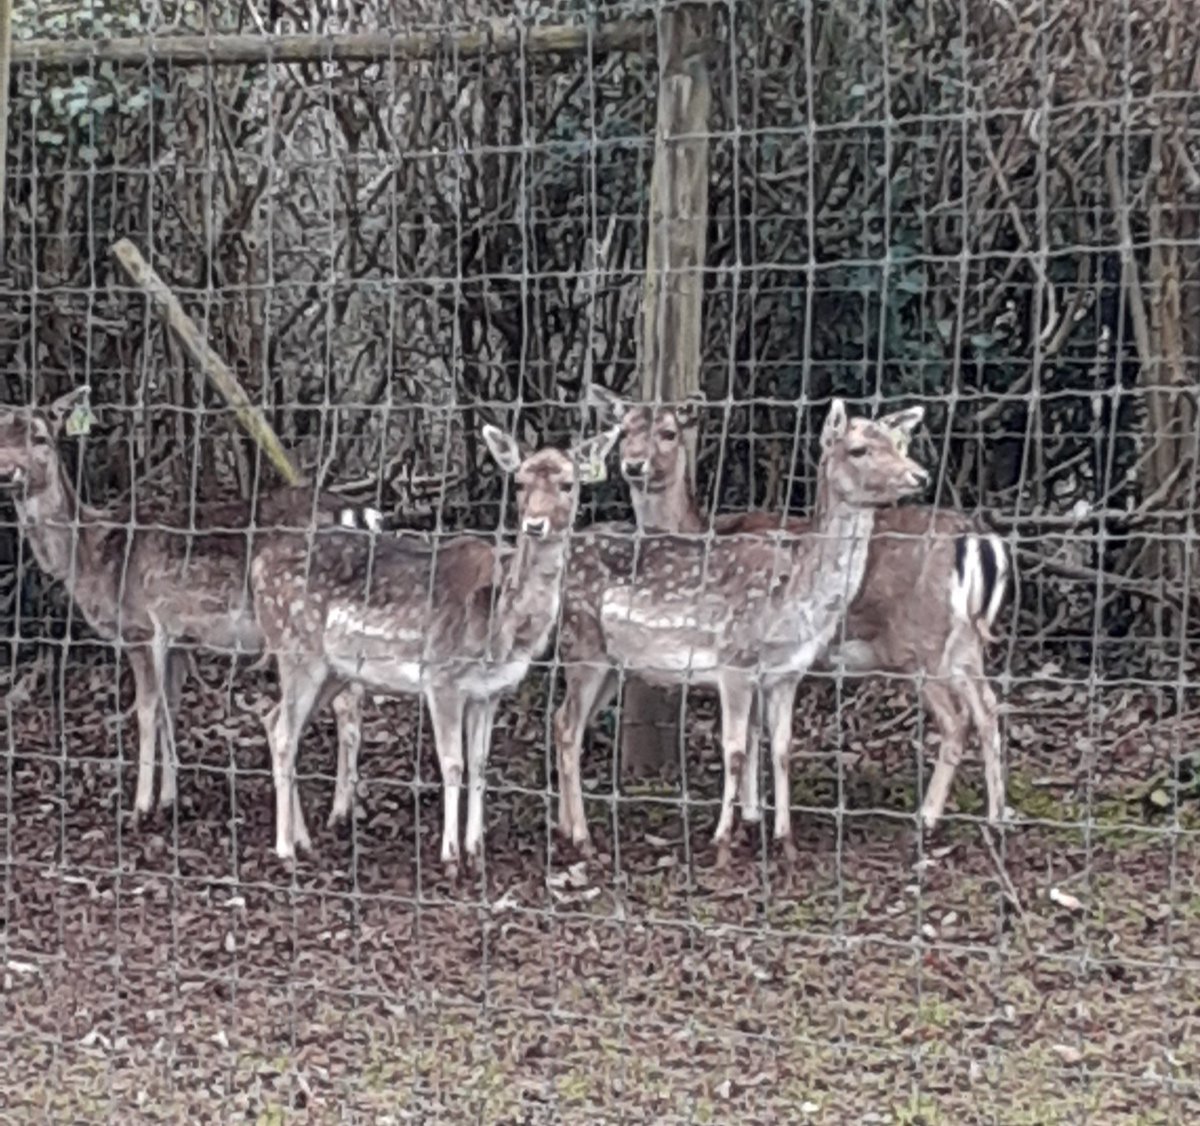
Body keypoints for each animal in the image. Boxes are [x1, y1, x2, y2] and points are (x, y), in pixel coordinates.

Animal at [0, 386, 385, 844]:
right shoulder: (181, 639)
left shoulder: (140, 627)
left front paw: (140, 808)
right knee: (352, 702)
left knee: (342, 706)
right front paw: (170, 799)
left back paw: (327, 818)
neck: (93, 559)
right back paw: (341, 812)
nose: (8, 473)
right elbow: (171, 707)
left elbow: (147, 711)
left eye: (41, 437)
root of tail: (360, 517)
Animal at [249, 421, 622, 870]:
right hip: (295, 646)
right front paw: (450, 856)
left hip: (332, 669)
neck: (503, 627)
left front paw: (476, 850)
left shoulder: (490, 691)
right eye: (518, 482)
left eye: (568, 484)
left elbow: (479, 764)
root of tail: (257, 566)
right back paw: (285, 848)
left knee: (275, 721)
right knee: (284, 734)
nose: (534, 524)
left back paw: (303, 839)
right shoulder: (442, 676)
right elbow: (452, 763)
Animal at [552, 399, 929, 865]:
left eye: (898, 443)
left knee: (563, 721)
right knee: (568, 727)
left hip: (611, 662)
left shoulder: (786, 673)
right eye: (859, 450)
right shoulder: (734, 660)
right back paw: (583, 839)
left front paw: (786, 842)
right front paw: (721, 843)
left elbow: (782, 749)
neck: (794, 593)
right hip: (581, 641)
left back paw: (565, 828)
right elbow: (734, 749)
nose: (920, 475)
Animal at [590, 386, 1009, 836]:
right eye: (623, 431)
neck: (700, 531)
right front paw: (757, 811)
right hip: (964, 643)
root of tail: (978, 538)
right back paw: (997, 815)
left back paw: (928, 816)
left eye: (668, 432)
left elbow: (750, 732)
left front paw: (752, 813)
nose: (634, 465)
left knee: (956, 719)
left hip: (918, 643)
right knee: (987, 708)